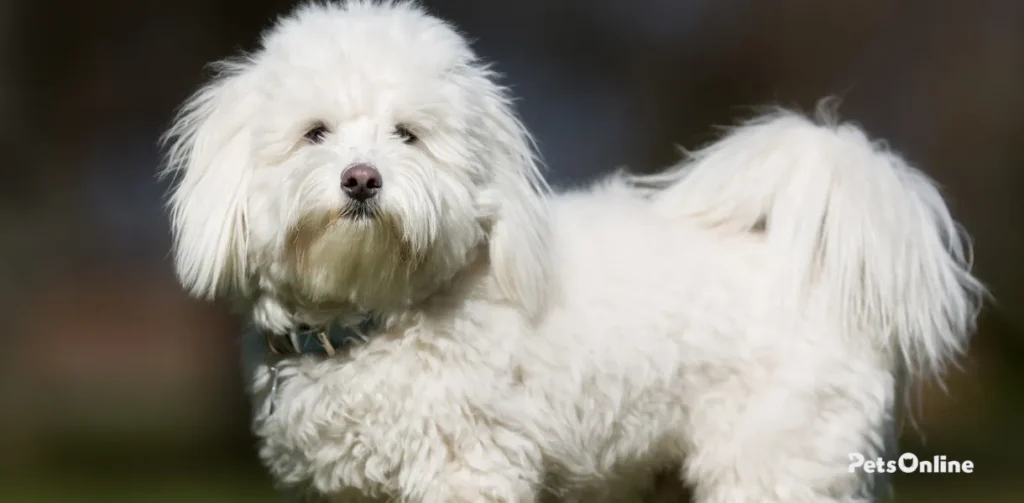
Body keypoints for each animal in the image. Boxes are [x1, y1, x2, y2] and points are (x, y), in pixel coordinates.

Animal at [163, 0, 987, 503]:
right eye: (315, 133)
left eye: (408, 134)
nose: (362, 179)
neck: (377, 320)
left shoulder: (466, 472)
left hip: (779, 461)